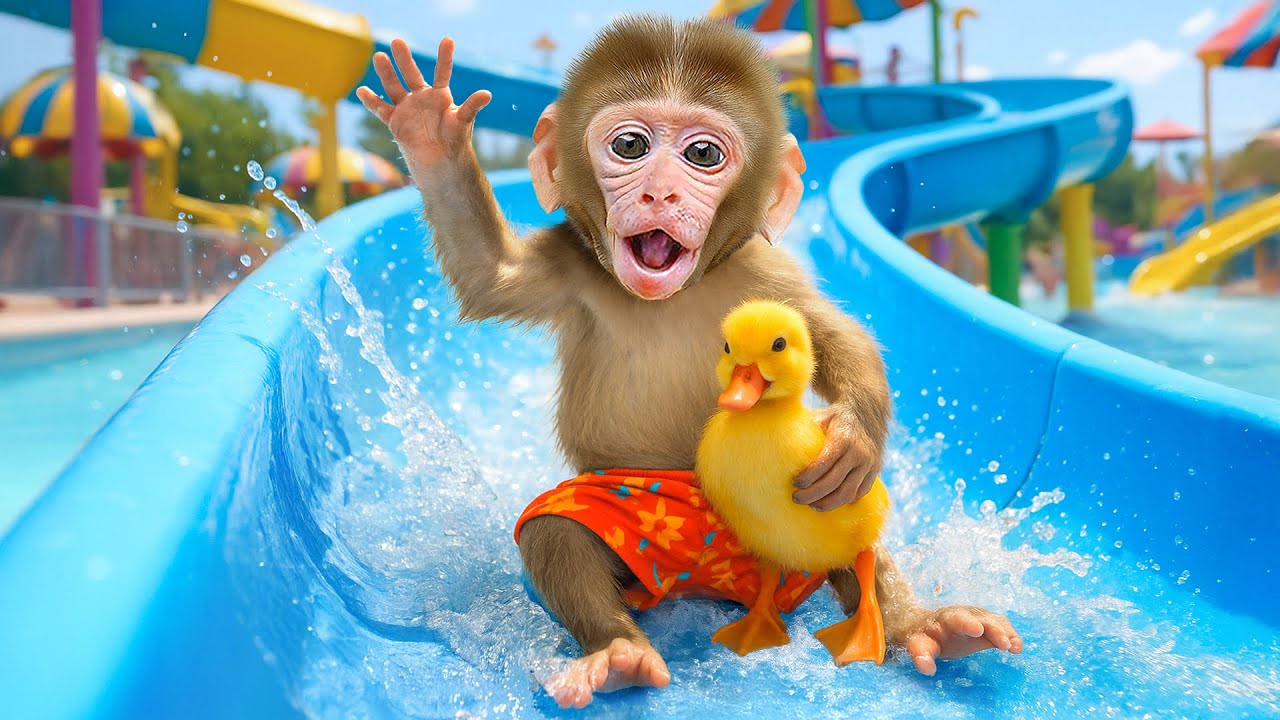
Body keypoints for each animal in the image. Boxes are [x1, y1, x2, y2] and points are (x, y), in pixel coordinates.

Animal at [358, 16, 1022, 710]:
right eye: (630, 146)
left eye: (702, 155)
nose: (660, 191)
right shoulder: (569, 263)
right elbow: (492, 276)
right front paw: (429, 128)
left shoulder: (769, 272)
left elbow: (831, 333)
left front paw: (855, 436)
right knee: (559, 530)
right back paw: (618, 654)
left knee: (848, 530)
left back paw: (925, 626)